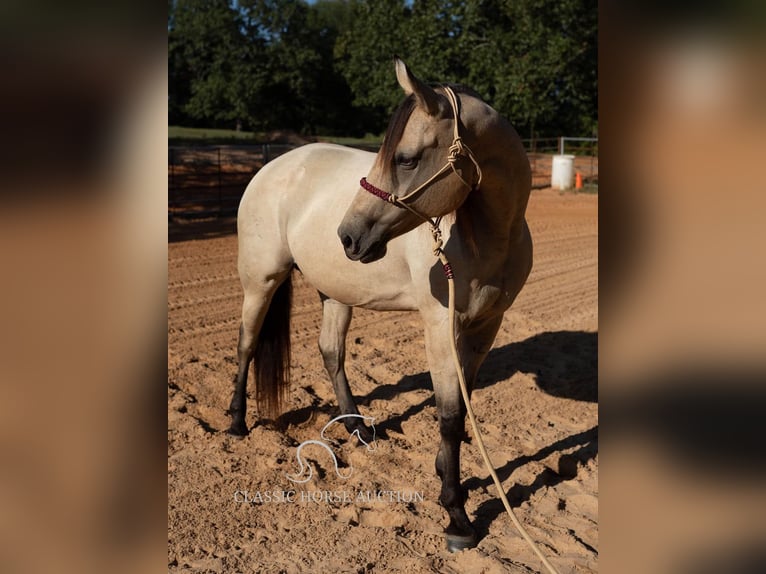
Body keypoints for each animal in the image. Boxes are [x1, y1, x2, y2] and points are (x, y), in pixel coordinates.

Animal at [228, 58, 536, 552]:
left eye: (405, 158)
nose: (348, 235)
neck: (489, 237)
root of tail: (272, 166)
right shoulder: (441, 327)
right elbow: (450, 415)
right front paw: (457, 516)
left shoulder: (486, 327)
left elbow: (461, 406)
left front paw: (447, 473)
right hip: (261, 282)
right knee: (247, 345)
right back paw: (237, 422)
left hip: (335, 292)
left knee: (330, 352)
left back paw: (355, 426)